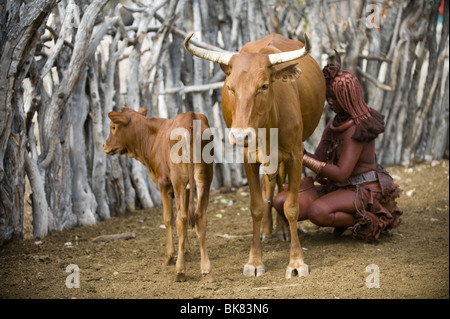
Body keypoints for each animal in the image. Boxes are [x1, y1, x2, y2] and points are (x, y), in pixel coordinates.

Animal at [103, 107, 214, 282]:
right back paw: (206, 271)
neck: (152, 136)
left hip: (179, 179)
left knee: (180, 219)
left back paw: (179, 271)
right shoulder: (187, 187)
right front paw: (187, 251)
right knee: (199, 216)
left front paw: (169, 256)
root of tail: (190, 116)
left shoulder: (164, 184)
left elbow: (167, 218)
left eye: (113, 127)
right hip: (204, 176)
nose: (104, 145)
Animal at [185, 33, 326, 280]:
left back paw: (282, 230)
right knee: (270, 185)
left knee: (279, 184)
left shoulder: (296, 155)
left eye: (264, 86)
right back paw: (269, 231)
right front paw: (255, 261)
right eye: (230, 88)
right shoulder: (248, 158)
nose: (241, 135)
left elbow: (291, 206)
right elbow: (257, 206)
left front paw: (296, 262)